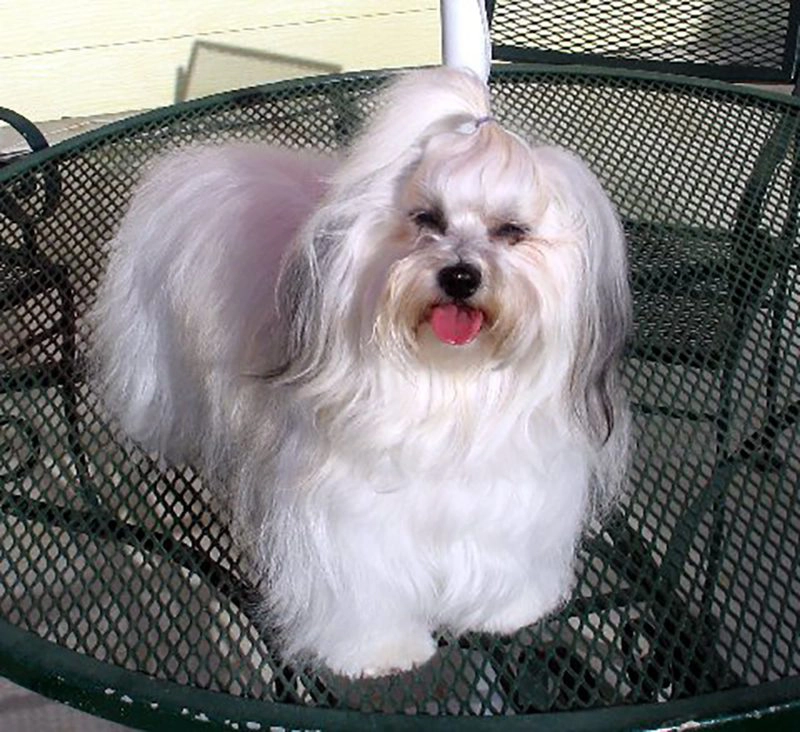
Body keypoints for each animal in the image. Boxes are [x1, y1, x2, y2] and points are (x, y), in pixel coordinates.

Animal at [92, 66, 632, 676]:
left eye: (511, 230)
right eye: (426, 219)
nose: (460, 275)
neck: (451, 384)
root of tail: (197, 160)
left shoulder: (512, 499)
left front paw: (506, 610)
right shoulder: (350, 521)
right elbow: (363, 588)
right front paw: (381, 651)